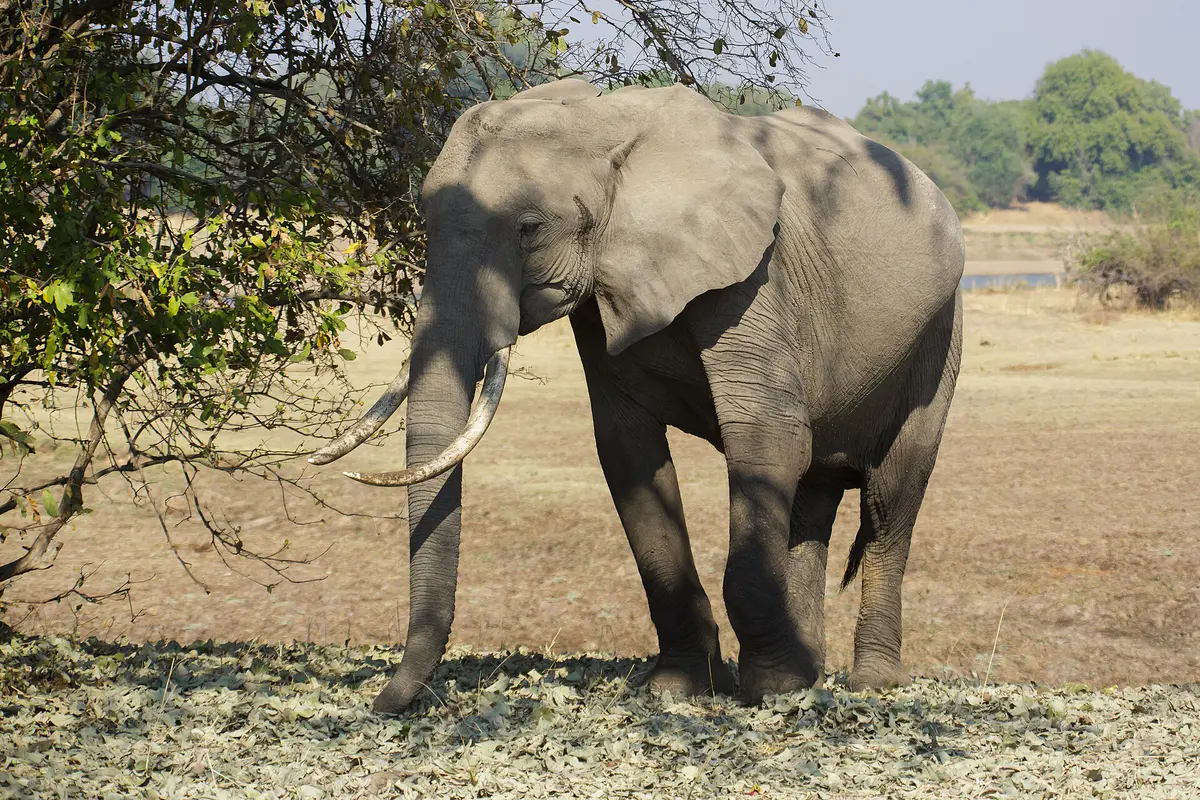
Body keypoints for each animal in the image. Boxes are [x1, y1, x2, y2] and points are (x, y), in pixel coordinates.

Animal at [310, 78, 964, 714]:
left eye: (528, 229)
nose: (383, 706)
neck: (605, 123)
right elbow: (628, 450)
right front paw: (677, 688)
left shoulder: (756, 276)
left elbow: (767, 438)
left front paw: (771, 691)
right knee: (814, 496)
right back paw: (813, 675)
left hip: (939, 337)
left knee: (890, 500)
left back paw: (870, 684)